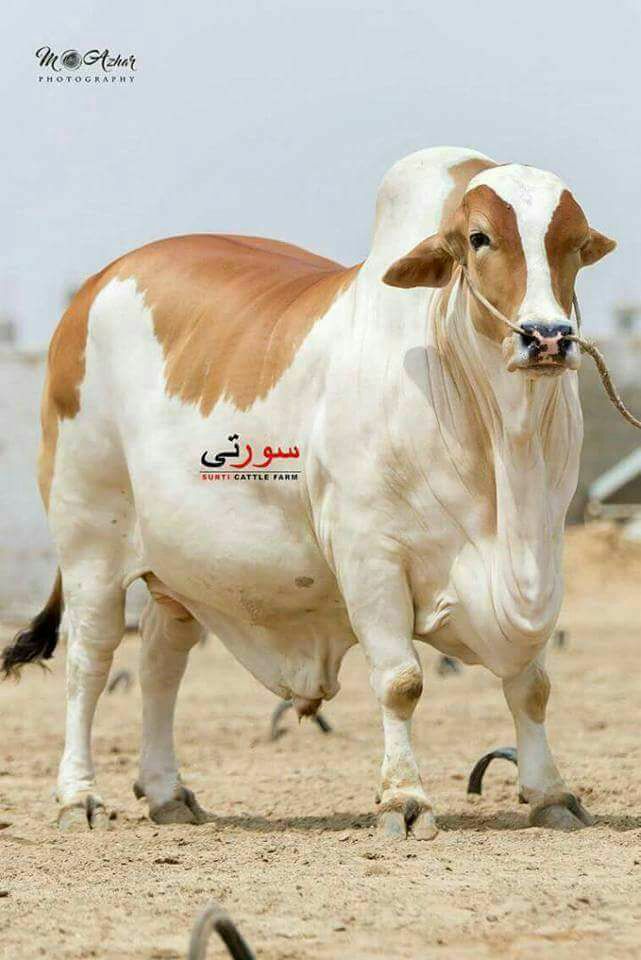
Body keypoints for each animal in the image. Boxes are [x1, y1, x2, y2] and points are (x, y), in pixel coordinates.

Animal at [2, 146, 616, 837]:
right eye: (481, 237)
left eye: (576, 244)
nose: (547, 337)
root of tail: (95, 285)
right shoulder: (370, 556)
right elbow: (401, 681)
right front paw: (404, 799)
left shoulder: (545, 552)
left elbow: (531, 686)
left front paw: (550, 793)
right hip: (89, 543)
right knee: (90, 661)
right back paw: (77, 797)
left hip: (181, 570)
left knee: (162, 661)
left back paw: (167, 792)